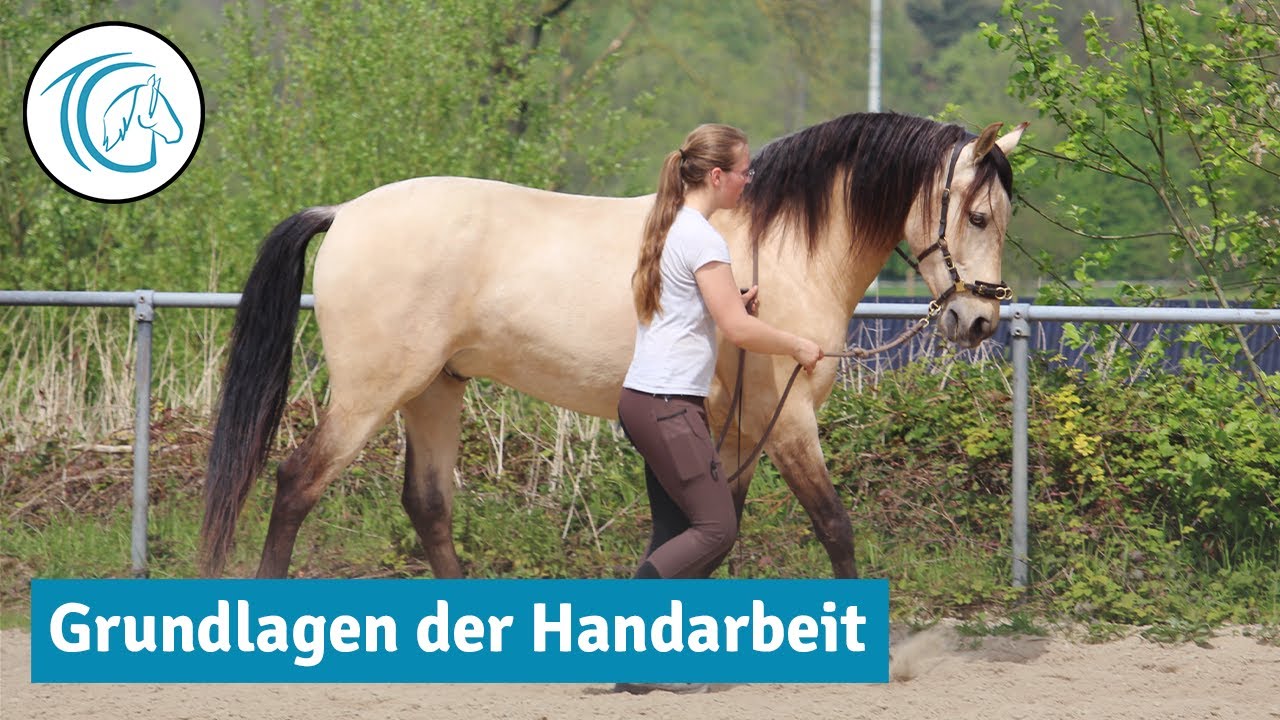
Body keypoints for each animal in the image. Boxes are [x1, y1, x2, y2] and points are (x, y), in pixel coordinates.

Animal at [200, 111, 1027, 579]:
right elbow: (835, 529)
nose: (979, 322)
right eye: (979, 215)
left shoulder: (738, 434)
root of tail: (344, 213)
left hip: (435, 390)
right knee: (296, 484)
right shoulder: (788, 423)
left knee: (428, 506)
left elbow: (717, 533)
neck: (781, 248)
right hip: (372, 393)